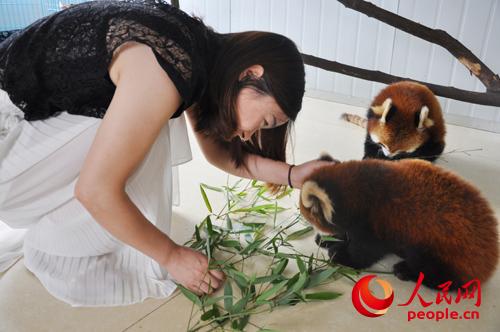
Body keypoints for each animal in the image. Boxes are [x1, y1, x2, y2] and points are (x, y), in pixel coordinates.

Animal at [298, 157, 498, 290]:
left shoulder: (375, 222)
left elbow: (365, 250)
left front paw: (342, 256)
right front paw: (330, 241)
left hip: (442, 249)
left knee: (439, 274)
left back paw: (407, 271)